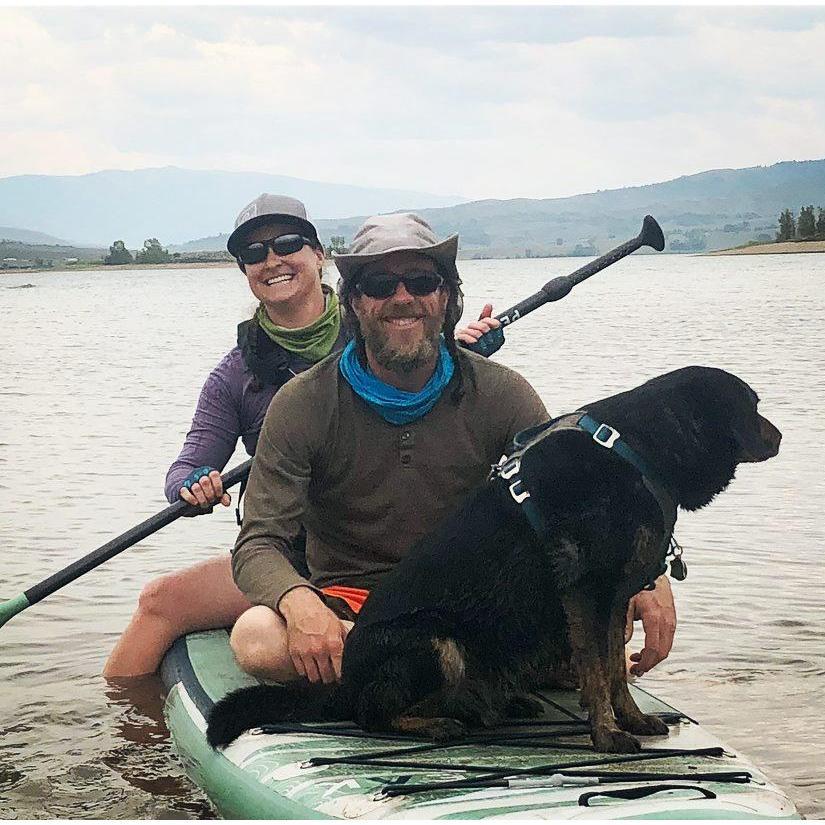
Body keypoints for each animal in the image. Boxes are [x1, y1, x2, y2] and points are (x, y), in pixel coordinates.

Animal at [206, 366, 780, 752]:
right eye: (752, 407)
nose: (780, 435)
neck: (635, 450)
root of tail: (343, 684)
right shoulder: (585, 592)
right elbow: (597, 670)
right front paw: (607, 733)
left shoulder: (614, 596)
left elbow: (617, 670)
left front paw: (632, 719)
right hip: (436, 640)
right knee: (373, 714)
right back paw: (435, 721)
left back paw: (498, 705)